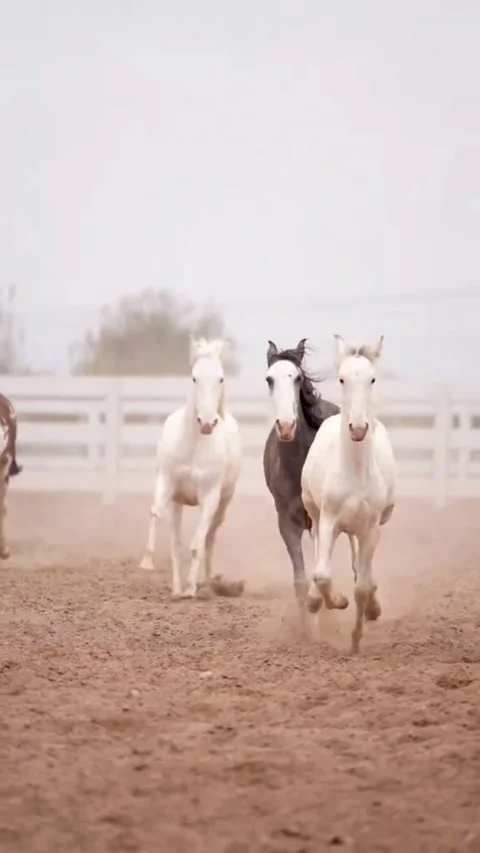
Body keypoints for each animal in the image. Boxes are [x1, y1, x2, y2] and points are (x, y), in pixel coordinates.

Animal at [139, 337, 242, 599]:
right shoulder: (167, 484)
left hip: (223, 503)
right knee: (178, 541)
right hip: (179, 503)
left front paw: (190, 589)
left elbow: (197, 544)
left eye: (221, 378)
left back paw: (207, 582)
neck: (194, 445)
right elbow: (158, 515)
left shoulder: (209, 498)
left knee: (210, 537)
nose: (206, 423)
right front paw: (148, 562)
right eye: (194, 378)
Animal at [301, 334, 396, 654]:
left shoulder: (371, 527)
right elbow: (322, 574)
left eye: (372, 378)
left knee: (360, 566)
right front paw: (335, 601)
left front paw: (356, 638)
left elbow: (363, 585)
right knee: (318, 550)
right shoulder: (329, 520)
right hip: (315, 513)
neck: (354, 473)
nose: (357, 428)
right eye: (341, 378)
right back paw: (315, 599)